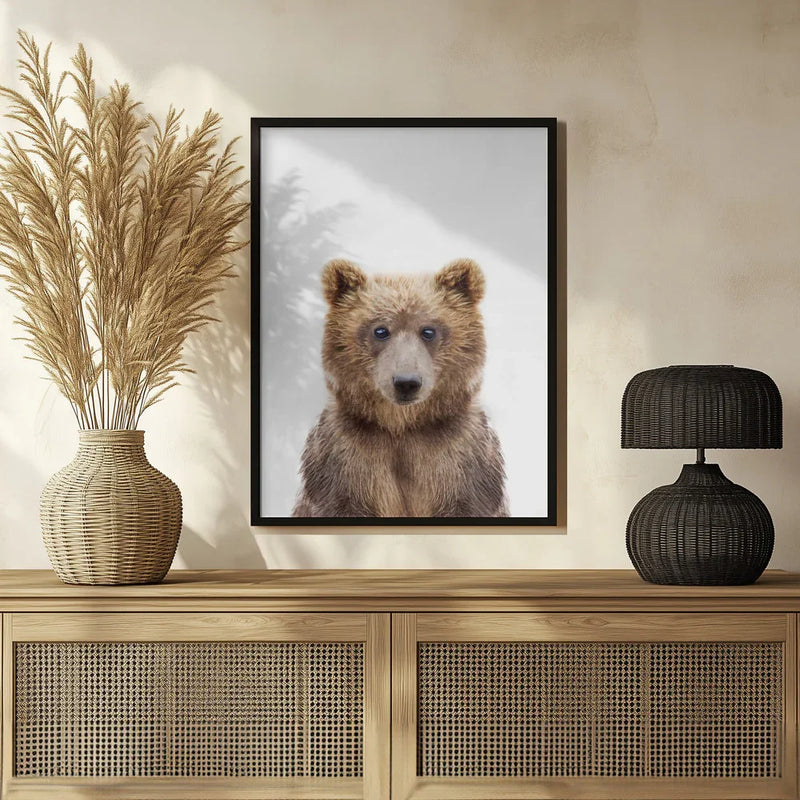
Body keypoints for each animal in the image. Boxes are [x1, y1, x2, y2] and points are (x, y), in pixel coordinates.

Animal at [291, 257, 509, 518]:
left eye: (428, 330)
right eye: (380, 330)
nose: (406, 382)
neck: (402, 426)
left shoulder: (462, 459)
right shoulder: (343, 459)